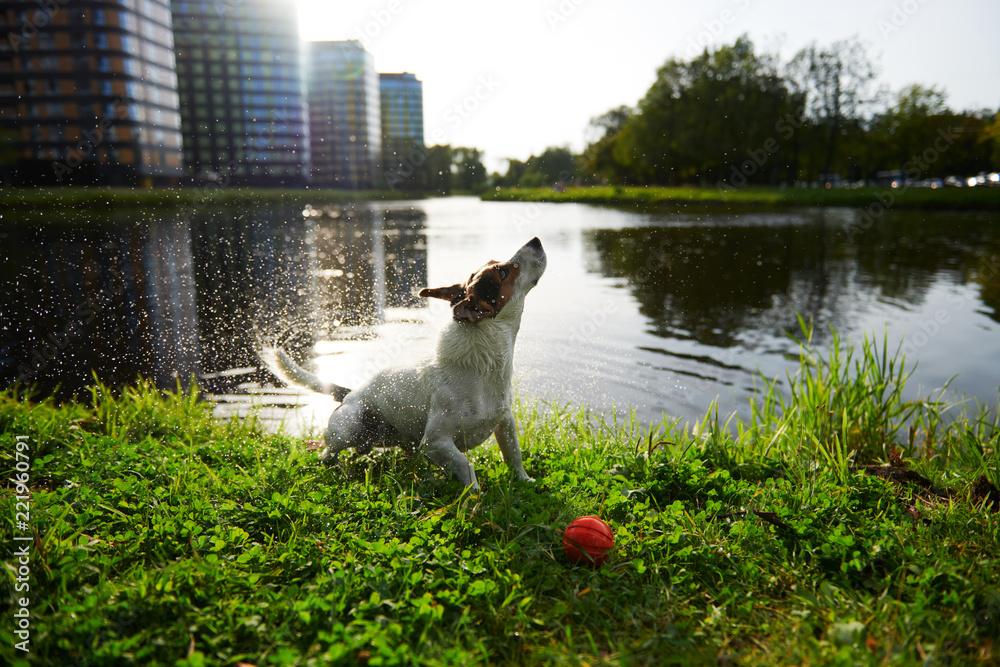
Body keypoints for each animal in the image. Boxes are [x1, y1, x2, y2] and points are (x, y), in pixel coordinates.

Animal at [272, 236, 548, 490]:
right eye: (503, 272)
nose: (535, 240)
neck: (484, 368)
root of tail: (349, 393)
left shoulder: (505, 422)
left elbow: (513, 454)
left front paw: (525, 480)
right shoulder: (435, 442)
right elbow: (466, 465)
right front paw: (474, 496)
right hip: (348, 427)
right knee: (325, 453)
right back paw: (341, 471)